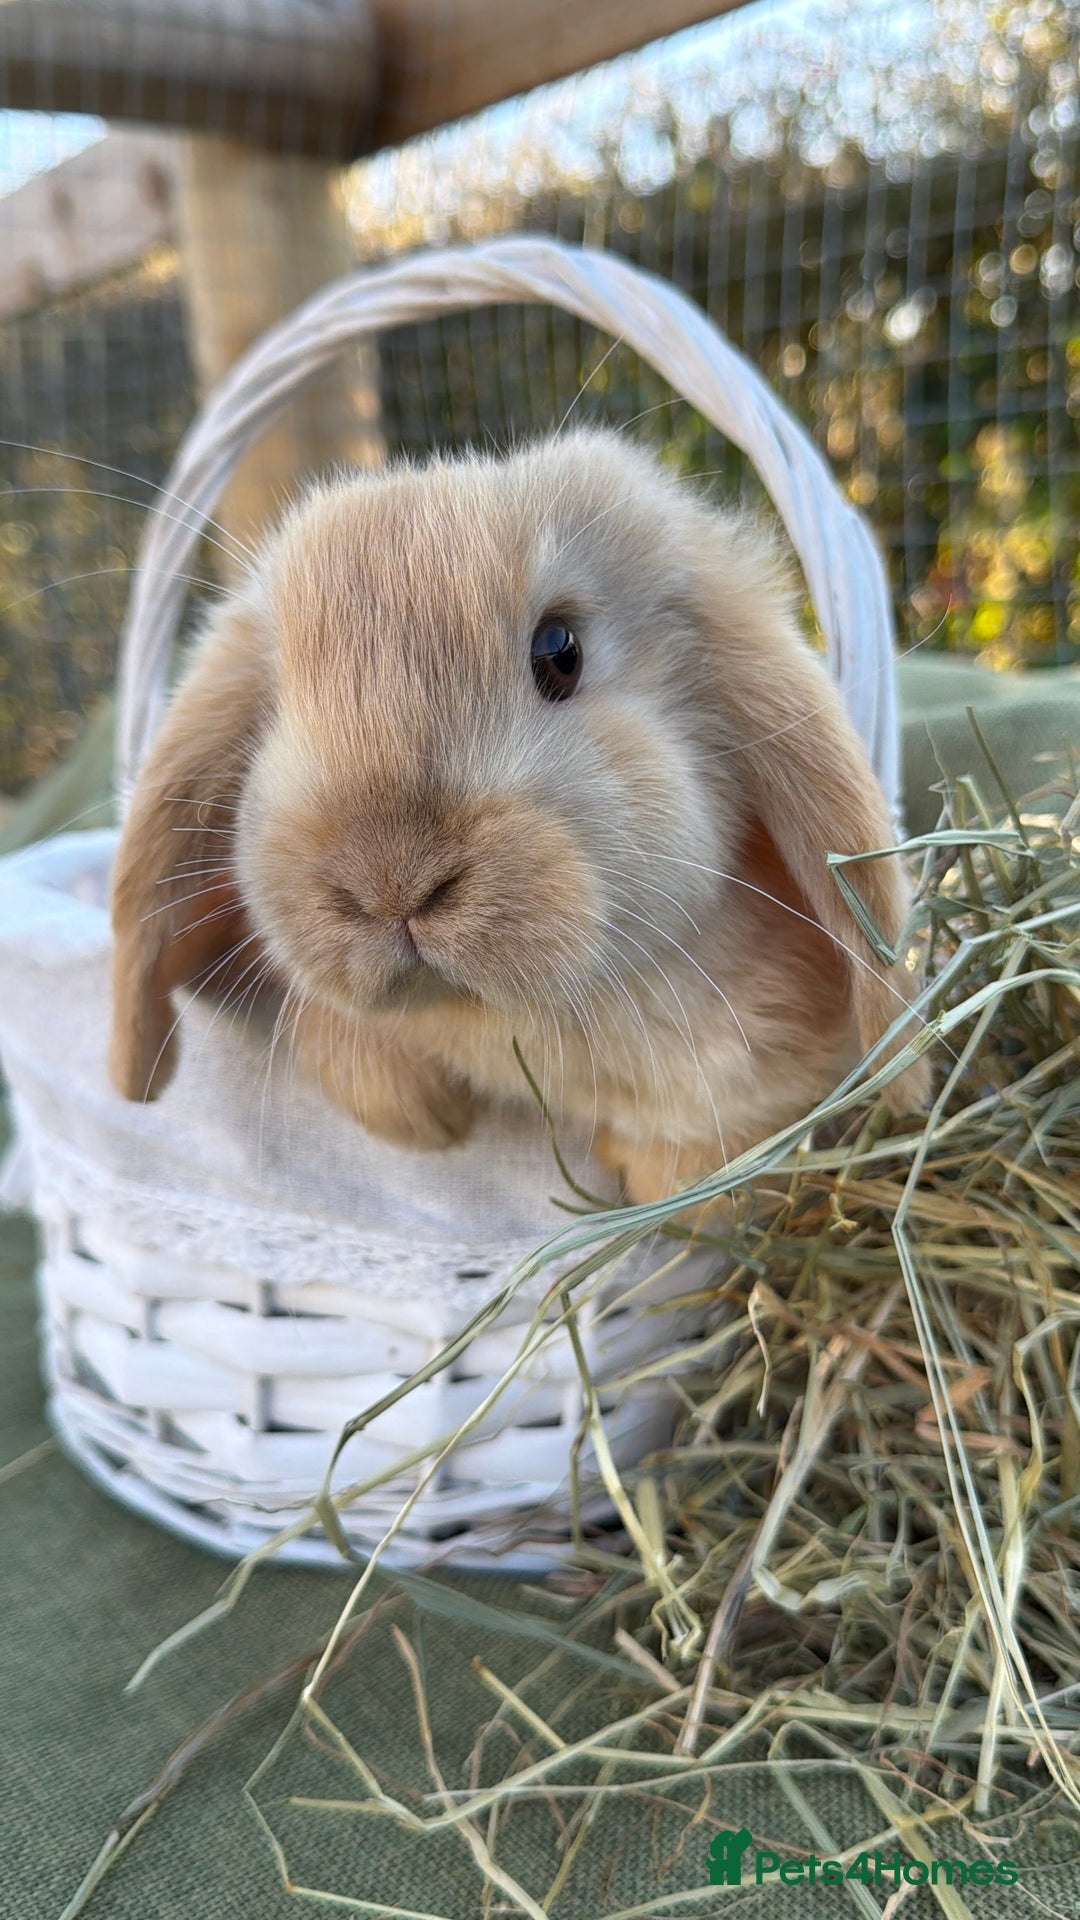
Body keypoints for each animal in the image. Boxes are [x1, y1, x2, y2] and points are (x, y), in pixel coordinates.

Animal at [109, 431, 928, 1206]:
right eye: (276, 704)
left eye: (559, 651)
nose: (389, 879)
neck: (511, 1024)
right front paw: (431, 1124)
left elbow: (702, 1162)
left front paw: (665, 1191)